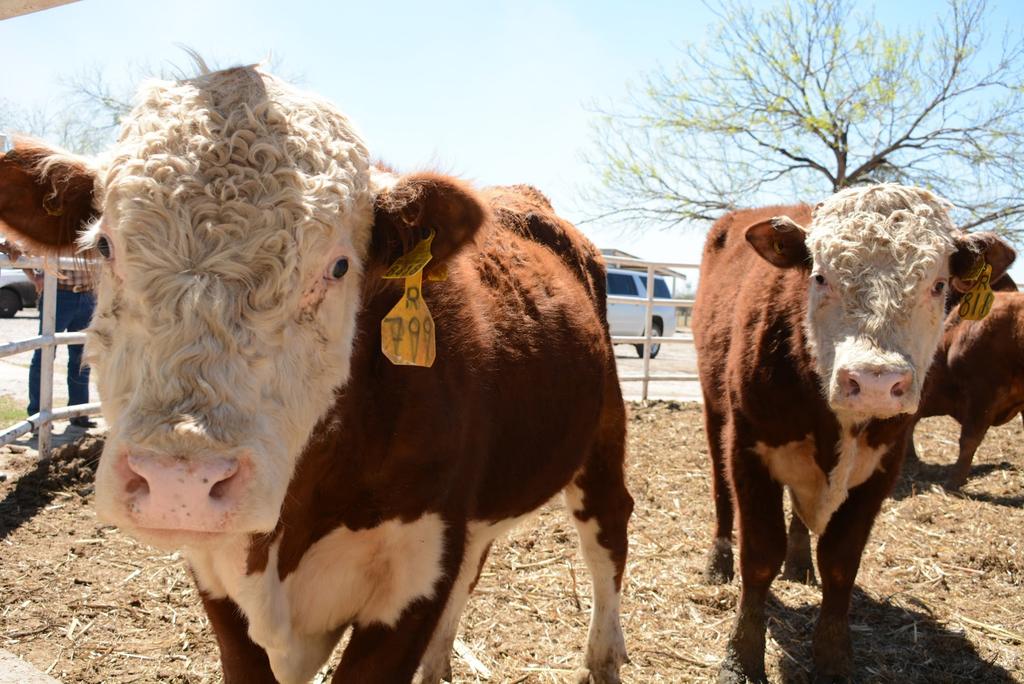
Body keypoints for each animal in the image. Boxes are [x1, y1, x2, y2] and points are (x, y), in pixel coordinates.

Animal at [0, 65, 630, 684]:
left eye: (339, 266)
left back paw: (603, 657)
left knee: (607, 534)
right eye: (105, 246)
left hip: (602, 435)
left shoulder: (416, 574)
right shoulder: (216, 577)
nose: (180, 482)